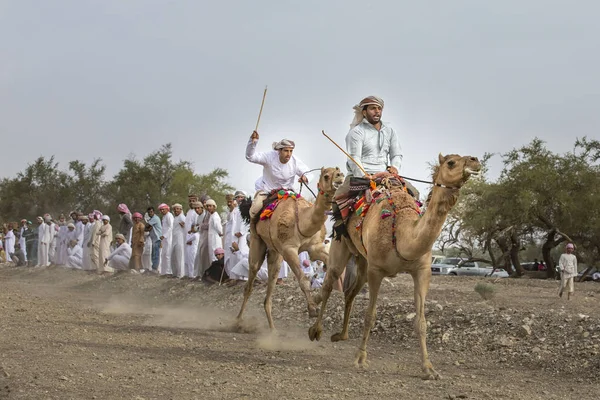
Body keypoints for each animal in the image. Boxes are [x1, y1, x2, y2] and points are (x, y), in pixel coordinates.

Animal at [236, 167, 344, 330]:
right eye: (326, 176)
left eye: (339, 171)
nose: (340, 176)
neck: (302, 221)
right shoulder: (289, 250)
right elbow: (304, 280)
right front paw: (312, 308)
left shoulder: (315, 248)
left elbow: (331, 272)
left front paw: (317, 299)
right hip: (257, 240)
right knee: (250, 279)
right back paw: (238, 321)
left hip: (275, 253)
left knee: (271, 284)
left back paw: (273, 330)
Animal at [308, 155, 480, 380]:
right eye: (451, 162)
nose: (475, 161)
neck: (402, 231)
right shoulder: (377, 271)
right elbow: (370, 316)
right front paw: (360, 359)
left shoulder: (422, 271)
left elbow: (421, 322)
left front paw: (429, 368)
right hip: (341, 243)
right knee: (330, 282)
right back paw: (315, 330)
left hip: (363, 260)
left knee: (350, 293)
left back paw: (341, 335)